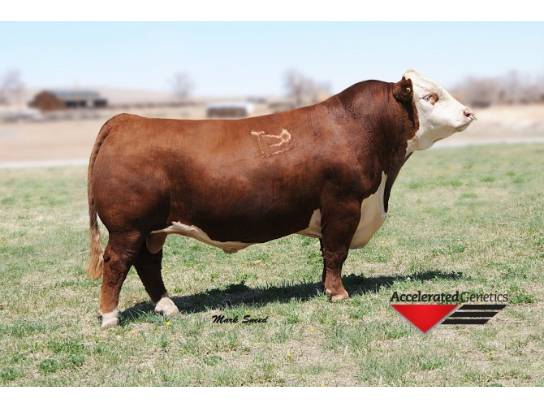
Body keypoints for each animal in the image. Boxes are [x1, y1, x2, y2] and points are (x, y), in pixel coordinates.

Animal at [87, 69, 475, 328]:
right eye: (430, 97)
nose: (469, 112)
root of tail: (126, 120)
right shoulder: (344, 206)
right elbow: (337, 252)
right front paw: (338, 294)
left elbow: (326, 255)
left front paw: (324, 287)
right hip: (128, 228)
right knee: (117, 263)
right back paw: (109, 318)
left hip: (152, 230)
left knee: (148, 264)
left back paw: (167, 307)